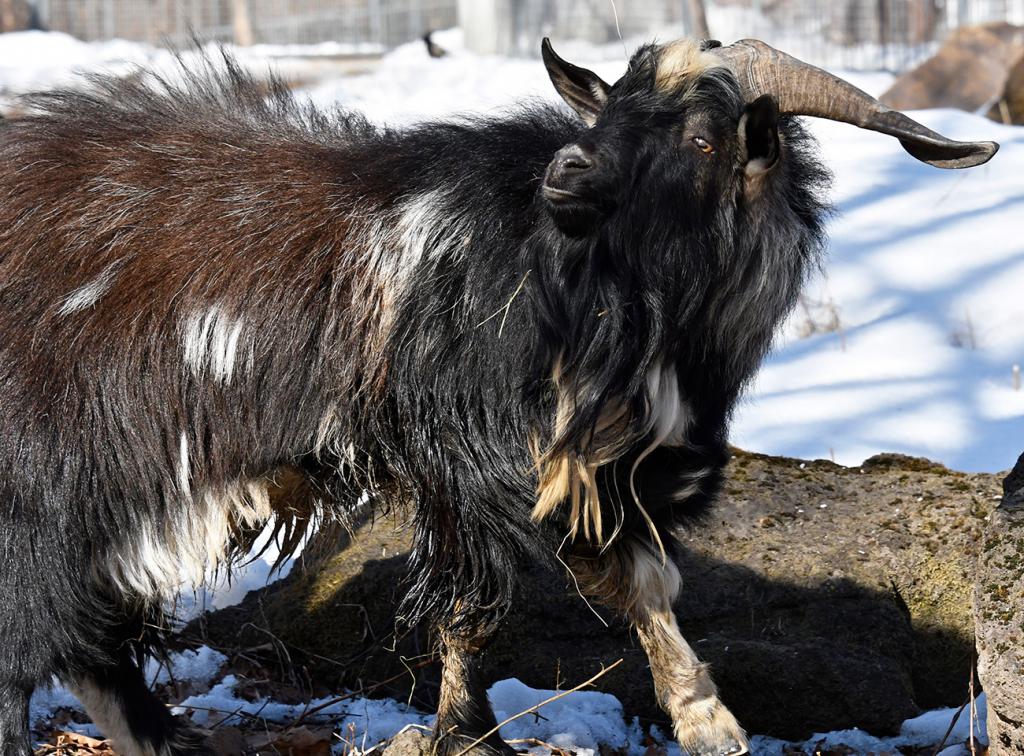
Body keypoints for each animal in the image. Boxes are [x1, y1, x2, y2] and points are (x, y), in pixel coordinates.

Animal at [0, 38, 995, 753]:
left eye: (703, 137)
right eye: (613, 109)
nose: (568, 171)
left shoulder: (605, 466)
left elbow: (623, 585)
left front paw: (699, 720)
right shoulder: (473, 459)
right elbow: (484, 609)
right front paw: (475, 735)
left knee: (81, 637)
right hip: (47, 479)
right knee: (35, 635)